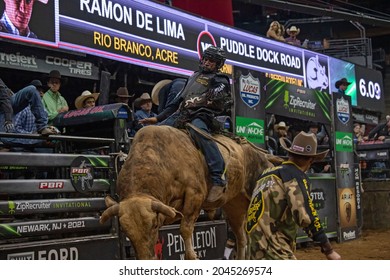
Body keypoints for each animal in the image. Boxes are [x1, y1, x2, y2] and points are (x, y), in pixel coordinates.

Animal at [100, 126, 278, 260]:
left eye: (154, 225)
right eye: (126, 231)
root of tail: (264, 154)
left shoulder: (195, 195)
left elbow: (185, 229)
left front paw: (192, 256)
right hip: (234, 207)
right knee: (241, 238)